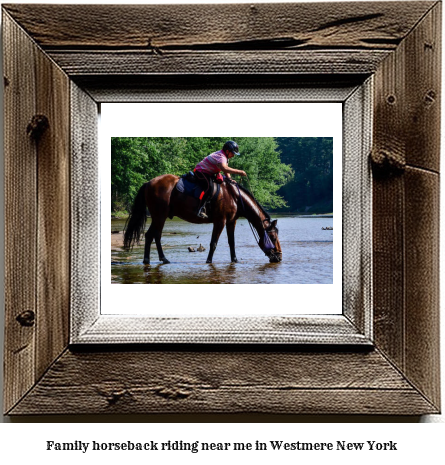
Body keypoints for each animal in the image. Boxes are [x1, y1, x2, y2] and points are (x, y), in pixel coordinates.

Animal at [122, 173, 280, 264]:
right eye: (272, 238)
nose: (279, 257)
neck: (234, 196)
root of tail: (148, 183)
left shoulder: (231, 222)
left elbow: (232, 242)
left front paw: (234, 260)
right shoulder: (220, 221)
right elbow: (213, 243)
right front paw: (209, 261)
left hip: (157, 216)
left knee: (150, 235)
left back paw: (147, 260)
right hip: (160, 216)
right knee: (156, 235)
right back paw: (162, 259)